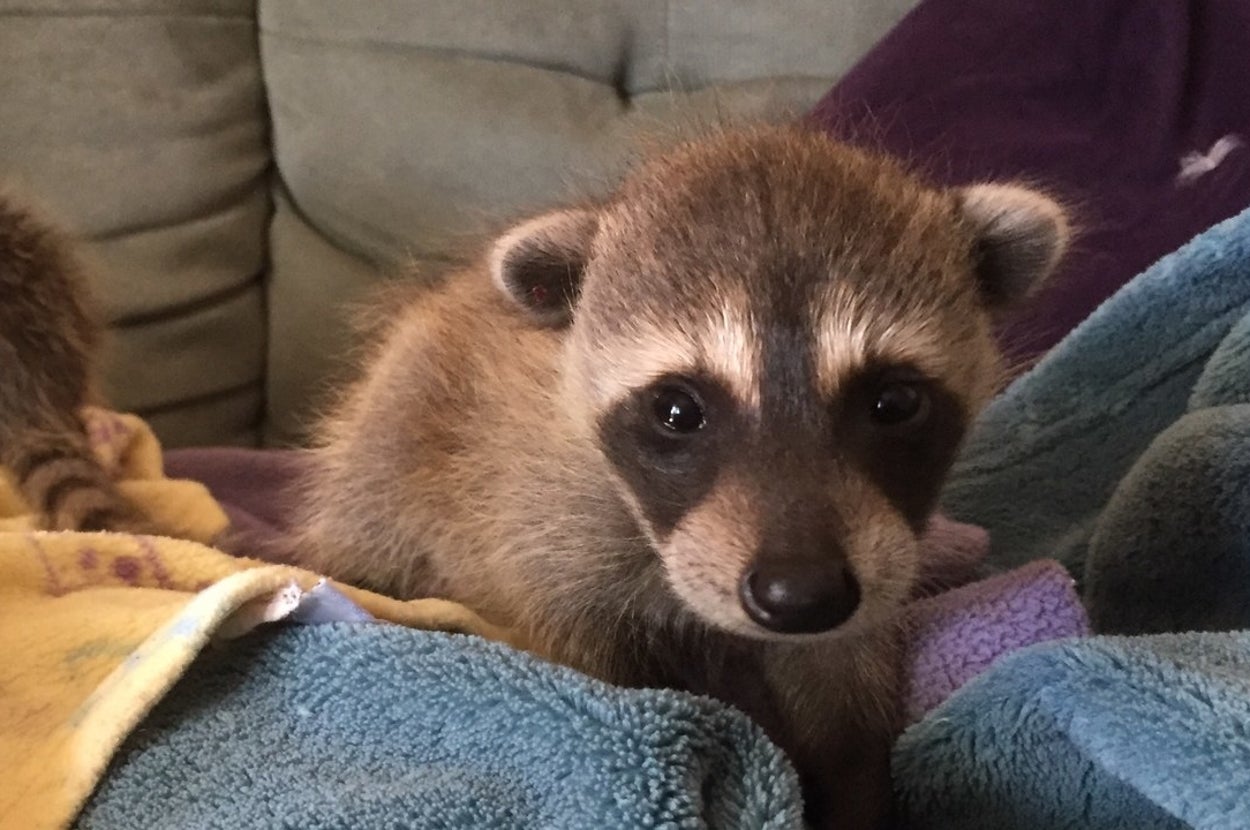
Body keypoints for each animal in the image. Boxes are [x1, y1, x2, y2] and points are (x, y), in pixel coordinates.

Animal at [296, 125, 1068, 827]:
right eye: (676, 410)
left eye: (895, 403)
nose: (801, 595)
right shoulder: (539, 525)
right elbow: (592, 674)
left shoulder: (868, 557)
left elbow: (843, 688)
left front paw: (854, 782)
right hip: (386, 452)